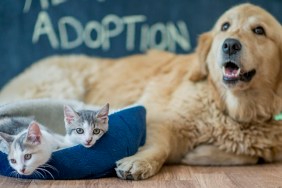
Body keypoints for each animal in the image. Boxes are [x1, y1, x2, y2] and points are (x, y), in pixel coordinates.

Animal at [0, 2, 282, 179]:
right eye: (224, 26)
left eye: (259, 30)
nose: (230, 45)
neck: (233, 109)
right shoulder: (161, 118)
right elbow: (160, 146)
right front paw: (139, 162)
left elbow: (252, 156)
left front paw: (200, 154)